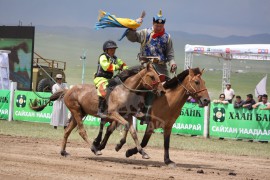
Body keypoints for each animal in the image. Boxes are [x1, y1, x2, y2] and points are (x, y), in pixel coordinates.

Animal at [29, 63, 165, 158]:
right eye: (152, 76)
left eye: (158, 76)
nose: (162, 91)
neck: (124, 91)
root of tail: (68, 90)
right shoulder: (113, 114)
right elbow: (124, 127)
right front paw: (116, 145)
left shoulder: (127, 116)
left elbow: (133, 132)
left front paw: (142, 152)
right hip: (76, 112)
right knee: (82, 132)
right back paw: (94, 149)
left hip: (78, 114)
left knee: (67, 131)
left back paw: (63, 152)